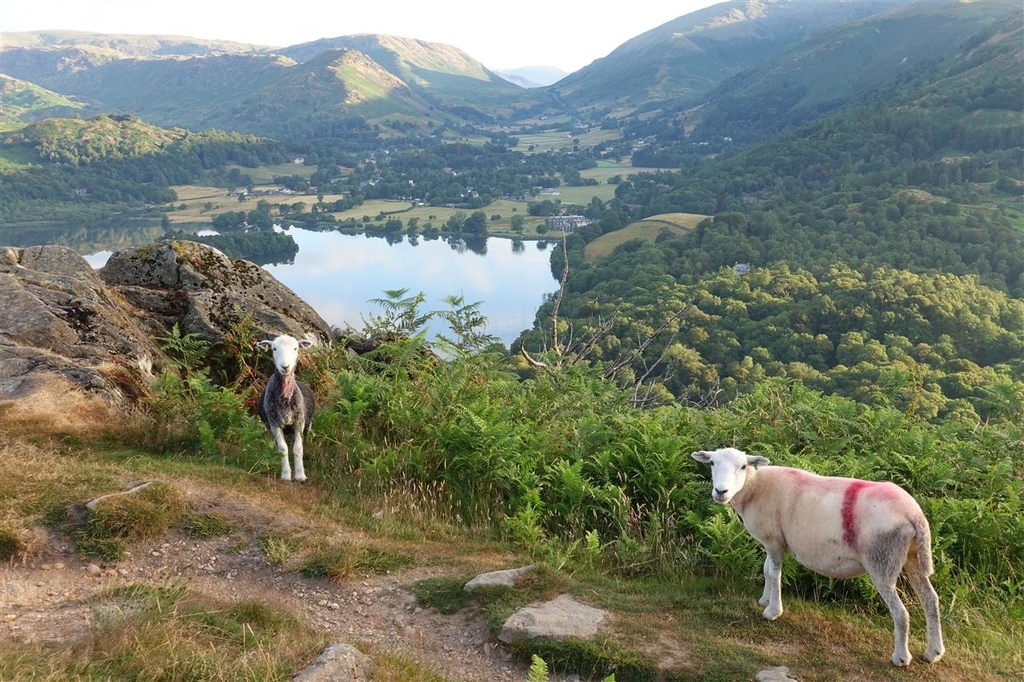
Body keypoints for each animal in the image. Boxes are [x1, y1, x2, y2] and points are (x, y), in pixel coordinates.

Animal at [256, 331, 315, 481]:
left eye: (295, 348)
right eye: (274, 349)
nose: (285, 366)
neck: (285, 399)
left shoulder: (299, 422)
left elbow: (298, 449)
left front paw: (300, 475)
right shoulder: (274, 424)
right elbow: (283, 449)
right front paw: (286, 475)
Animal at [688, 446, 942, 663]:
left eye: (742, 466)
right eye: (712, 463)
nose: (721, 491)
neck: (755, 487)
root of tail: (914, 514)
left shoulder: (774, 540)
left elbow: (774, 574)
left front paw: (772, 611)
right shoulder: (773, 542)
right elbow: (767, 570)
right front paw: (764, 600)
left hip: (881, 559)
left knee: (901, 613)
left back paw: (901, 658)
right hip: (912, 557)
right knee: (930, 600)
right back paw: (933, 652)